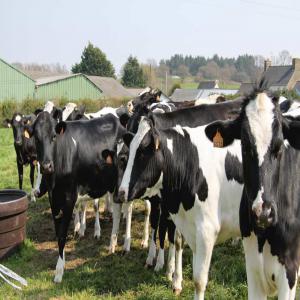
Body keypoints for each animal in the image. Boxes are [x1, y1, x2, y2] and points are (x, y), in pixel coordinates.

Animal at [27, 111, 126, 282]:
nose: (46, 166)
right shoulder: (54, 200)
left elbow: (62, 235)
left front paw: (59, 271)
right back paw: (112, 245)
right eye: (36, 138)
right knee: (118, 212)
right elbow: (58, 233)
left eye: (54, 136)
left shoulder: (69, 198)